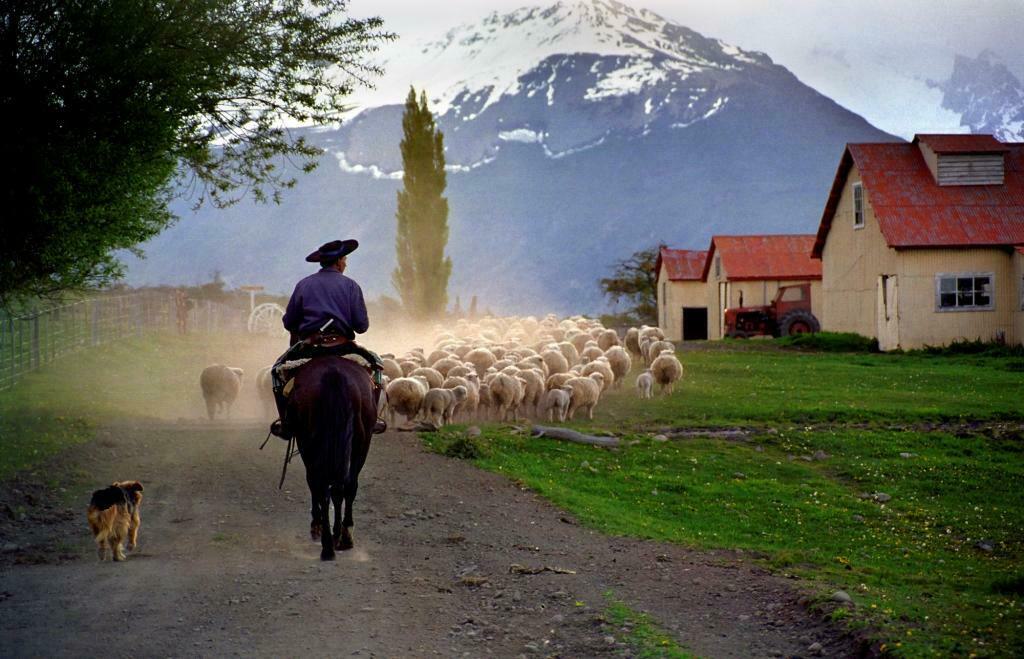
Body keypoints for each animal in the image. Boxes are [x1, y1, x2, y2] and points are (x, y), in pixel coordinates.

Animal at [286, 356, 374, 560]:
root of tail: (334, 374)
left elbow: (314, 485)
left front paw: (317, 525)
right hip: (359, 444)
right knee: (344, 487)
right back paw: (340, 539)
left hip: (313, 444)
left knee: (325, 488)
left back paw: (330, 542)